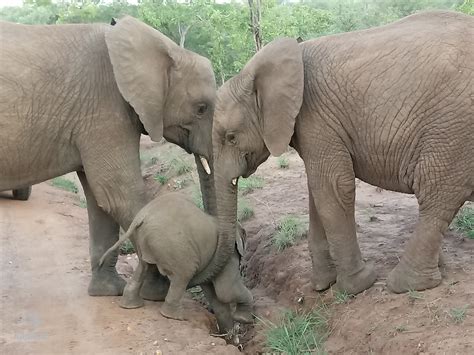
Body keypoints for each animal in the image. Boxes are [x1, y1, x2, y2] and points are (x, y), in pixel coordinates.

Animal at [0, 17, 218, 300]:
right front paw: (158, 291)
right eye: (201, 109)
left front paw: (108, 291)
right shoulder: (105, 109)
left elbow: (100, 200)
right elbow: (121, 195)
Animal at [98, 193, 254, 332]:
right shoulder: (230, 256)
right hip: (173, 245)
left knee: (144, 267)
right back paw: (176, 317)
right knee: (183, 274)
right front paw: (244, 319)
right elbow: (226, 290)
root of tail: (141, 217)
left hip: (145, 241)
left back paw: (131, 306)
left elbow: (214, 291)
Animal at [212, 11, 474, 294]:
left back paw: (406, 284)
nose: (241, 251)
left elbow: (333, 186)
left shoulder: (315, 115)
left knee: (434, 193)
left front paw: (357, 286)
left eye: (231, 137)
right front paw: (321, 285)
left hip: (454, 126)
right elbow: (317, 191)